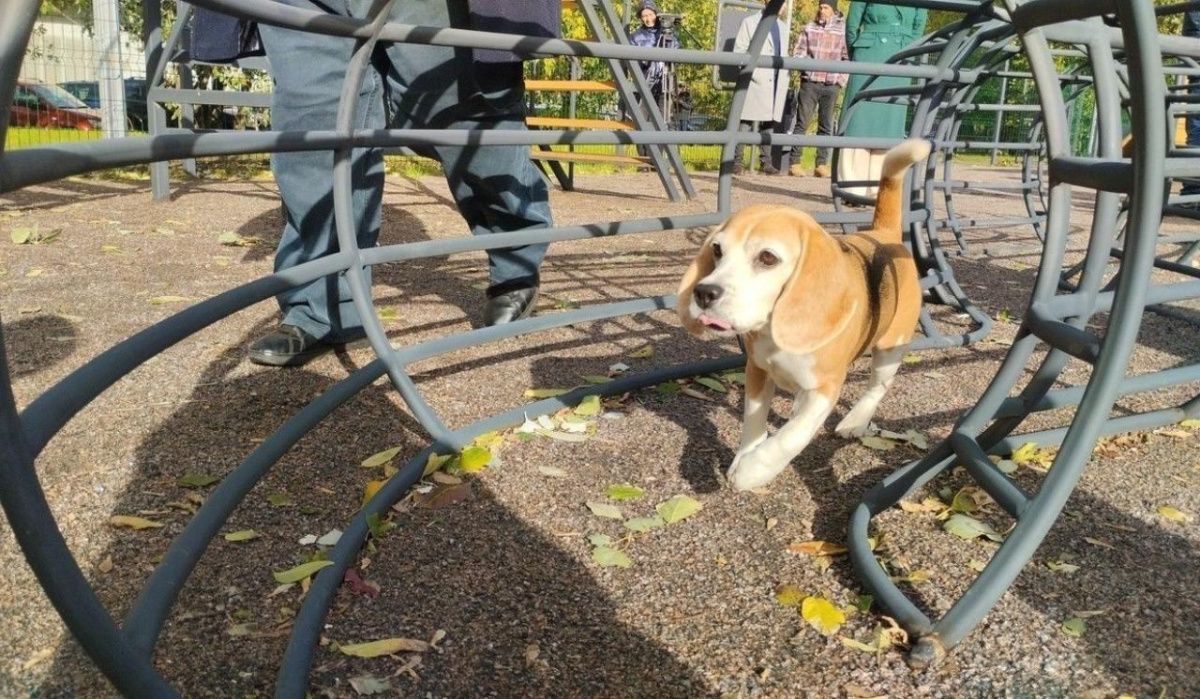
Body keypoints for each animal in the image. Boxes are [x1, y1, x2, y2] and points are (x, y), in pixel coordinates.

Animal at [676, 139, 926, 492]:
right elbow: (753, 420)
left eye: (768, 258)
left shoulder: (827, 387)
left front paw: (755, 469)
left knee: (876, 387)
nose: (704, 293)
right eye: (717, 250)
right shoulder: (757, 370)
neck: (774, 331)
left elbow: (792, 436)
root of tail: (884, 235)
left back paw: (855, 421)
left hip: (891, 348)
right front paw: (745, 455)